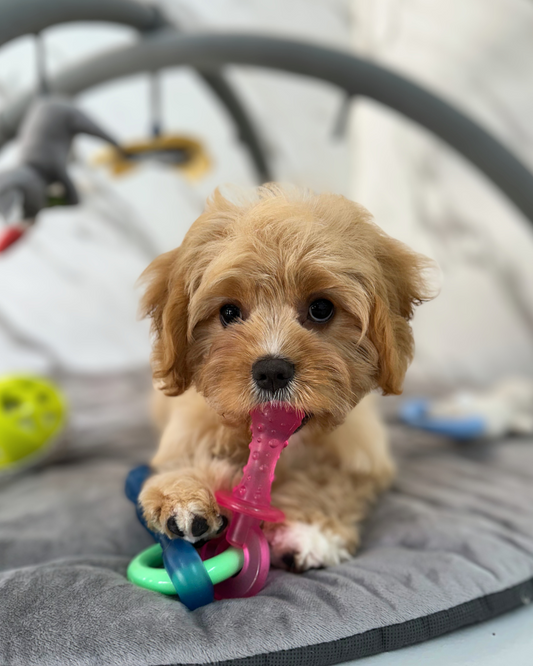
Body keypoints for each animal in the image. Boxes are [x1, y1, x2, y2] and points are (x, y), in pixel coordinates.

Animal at [138, 185, 432, 572]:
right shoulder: (189, 431)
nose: (271, 371)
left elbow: (332, 483)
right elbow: (184, 461)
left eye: (321, 309)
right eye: (229, 312)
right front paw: (187, 498)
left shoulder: (362, 459)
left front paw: (308, 531)